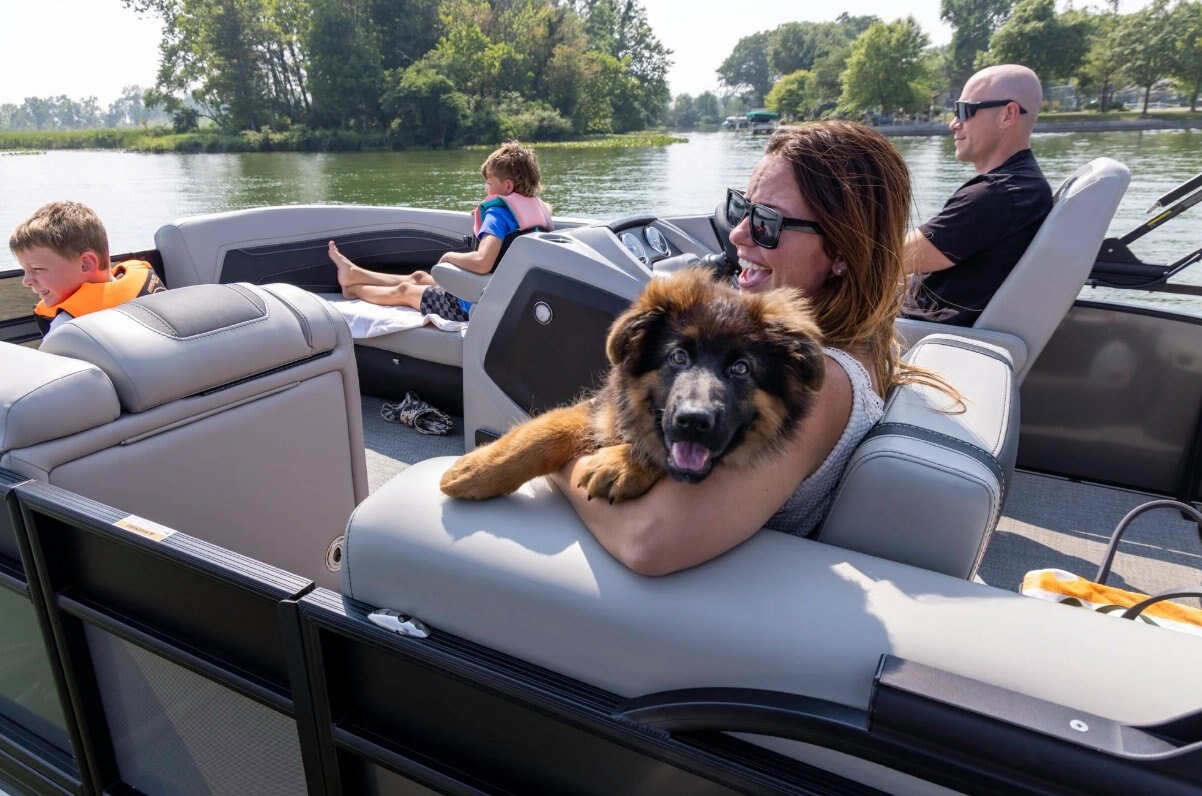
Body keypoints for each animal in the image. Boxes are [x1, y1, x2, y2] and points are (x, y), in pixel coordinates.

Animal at [439, 268, 826, 503]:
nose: (693, 422)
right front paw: (474, 470)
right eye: (678, 357)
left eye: (741, 369)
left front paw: (622, 464)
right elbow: (542, 432)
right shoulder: (598, 410)